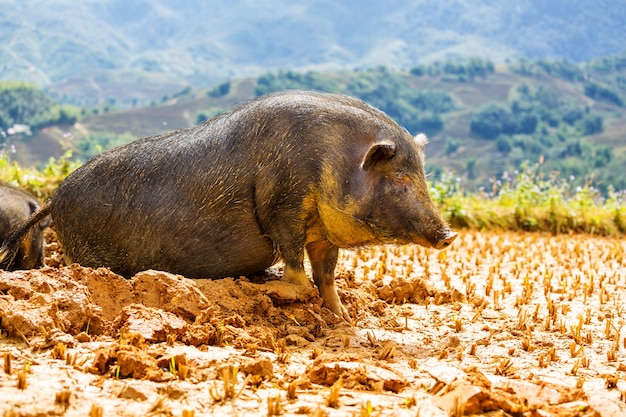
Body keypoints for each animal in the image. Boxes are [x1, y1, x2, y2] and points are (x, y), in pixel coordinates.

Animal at [1, 90, 458, 318]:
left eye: (421, 175)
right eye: (399, 177)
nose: (449, 234)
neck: (331, 157)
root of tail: (54, 198)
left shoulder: (322, 232)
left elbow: (326, 274)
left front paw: (343, 317)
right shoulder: (283, 204)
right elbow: (296, 265)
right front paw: (277, 287)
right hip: (83, 253)